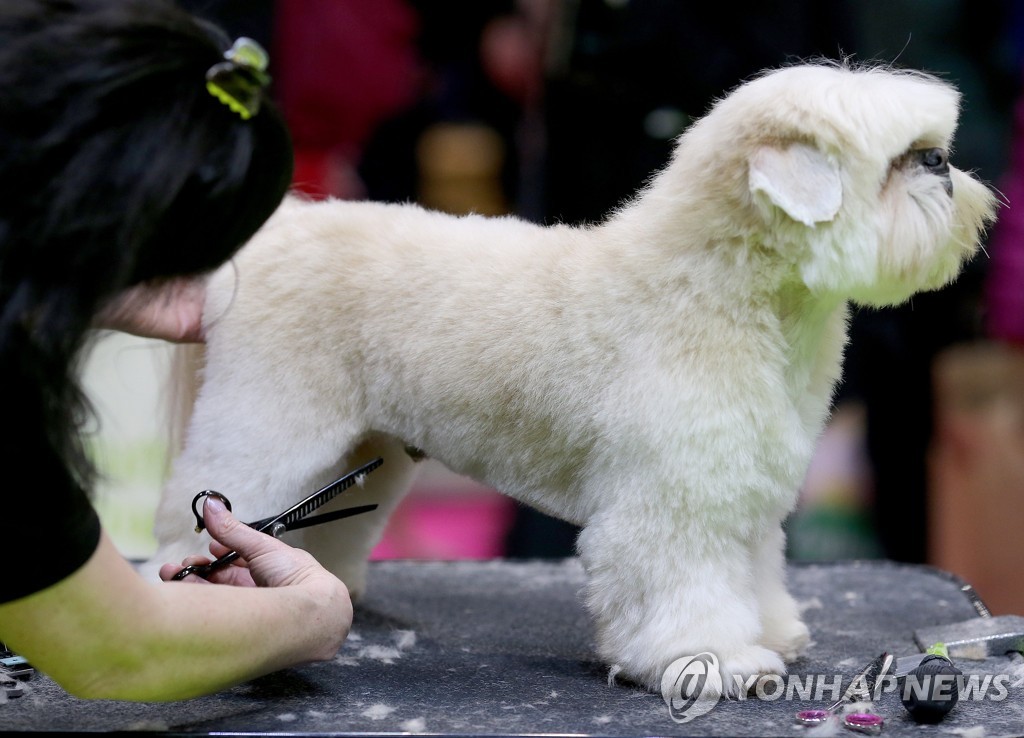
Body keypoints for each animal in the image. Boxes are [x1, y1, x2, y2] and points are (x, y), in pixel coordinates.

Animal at [142, 63, 991, 691]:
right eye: (898, 160)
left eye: (932, 146)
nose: (943, 165)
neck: (726, 292)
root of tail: (282, 229)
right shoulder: (672, 500)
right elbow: (683, 587)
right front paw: (715, 660)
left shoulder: (744, 484)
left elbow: (753, 570)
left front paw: (772, 632)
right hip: (271, 422)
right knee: (197, 509)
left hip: (359, 450)